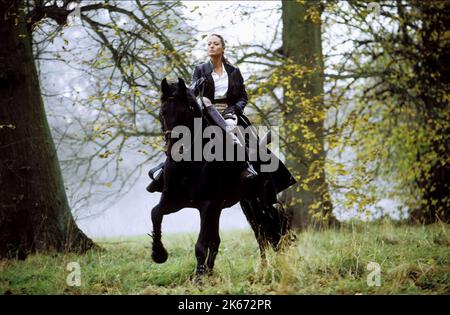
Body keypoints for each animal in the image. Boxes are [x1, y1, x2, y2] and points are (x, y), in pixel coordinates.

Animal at [149, 78, 294, 276]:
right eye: (162, 112)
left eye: (186, 111)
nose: (174, 150)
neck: (189, 165)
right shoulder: (173, 201)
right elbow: (155, 213)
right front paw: (158, 254)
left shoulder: (208, 205)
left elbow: (201, 244)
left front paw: (199, 277)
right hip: (243, 203)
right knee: (256, 233)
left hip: (258, 201)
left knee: (268, 229)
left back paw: (272, 265)